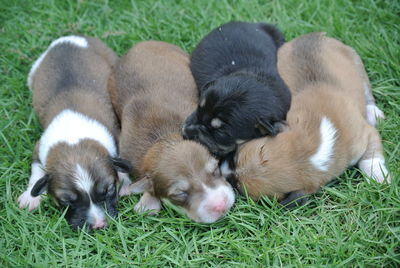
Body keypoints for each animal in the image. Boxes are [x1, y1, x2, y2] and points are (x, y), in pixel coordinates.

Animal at [18, 35, 130, 228]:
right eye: (68, 201)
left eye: (108, 191)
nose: (99, 225)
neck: (74, 139)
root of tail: (71, 38)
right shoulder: (39, 147)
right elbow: (37, 170)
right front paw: (31, 197)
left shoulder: (116, 138)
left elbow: (121, 161)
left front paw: (126, 182)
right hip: (33, 73)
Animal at [233, 33, 390, 205]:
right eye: (236, 159)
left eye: (239, 188)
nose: (229, 176)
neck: (316, 147)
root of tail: (313, 35)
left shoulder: (366, 133)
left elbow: (371, 158)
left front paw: (378, 177)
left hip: (357, 64)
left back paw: (373, 113)